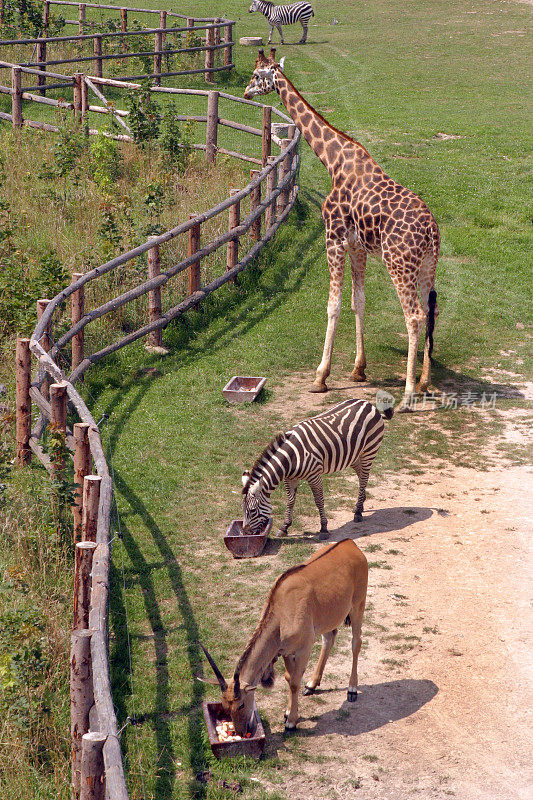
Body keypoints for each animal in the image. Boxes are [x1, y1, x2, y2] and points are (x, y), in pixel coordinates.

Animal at [198, 536, 366, 732]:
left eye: (240, 704)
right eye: (225, 705)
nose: (242, 731)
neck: (281, 612)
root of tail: (350, 544)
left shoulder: (303, 649)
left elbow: (294, 682)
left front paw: (291, 721)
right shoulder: (286, 650)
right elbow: (289, 677)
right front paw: (287, 712)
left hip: (358, 605)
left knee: (356, 642)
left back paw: (352, 689)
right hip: (329, 618)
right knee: (329, 640)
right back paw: (311, 685)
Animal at [240, 398, 386, 540]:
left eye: (252, 511)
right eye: (242, 509)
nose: (244, 533)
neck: (290, 458)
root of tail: (367, 403)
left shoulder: (314, 475)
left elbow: (319, 501)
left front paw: (324, 529)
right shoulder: (290, 478)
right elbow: (290, 501)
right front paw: (285, 527)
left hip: (369, 450)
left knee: (364, 477)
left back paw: (358, 513)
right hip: (353, 456)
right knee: (362, 477)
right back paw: (359, 504)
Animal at [243, 50, 438, 412]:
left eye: (257, 74)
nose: (247, 92)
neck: (332, 160)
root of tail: (433, 232)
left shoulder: (332, 237)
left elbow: (333, 305)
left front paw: (321, 377)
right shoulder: (357, 245)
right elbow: (357, 301)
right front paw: (359, 370)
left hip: (399, 264)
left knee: (414, 317)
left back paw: (407, 395)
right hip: (426, 268)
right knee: (431, 311)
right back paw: (424, 382)